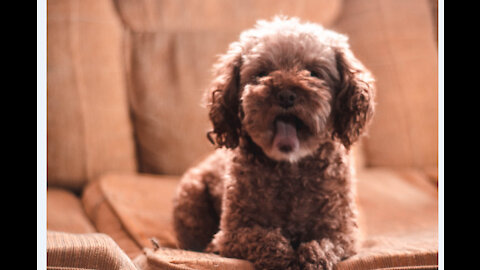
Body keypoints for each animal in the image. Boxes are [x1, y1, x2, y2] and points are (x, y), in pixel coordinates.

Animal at [172, 16, 376, 270]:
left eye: (314, 73)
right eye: (262, 73)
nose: (286, 94)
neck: (290, 170)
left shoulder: (343, 233)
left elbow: (324, 246)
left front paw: (312, 258)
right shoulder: (232, 233)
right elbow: (265, 239)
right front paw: (284, 256)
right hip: (190, 194)